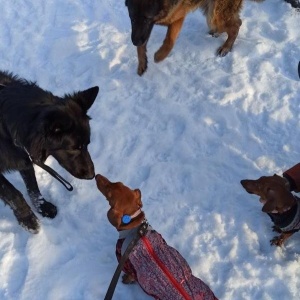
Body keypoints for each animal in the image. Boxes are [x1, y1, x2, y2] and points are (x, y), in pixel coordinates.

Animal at [0, 69, 99, 232]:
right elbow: (14, 195)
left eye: (87, 144)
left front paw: (43, 207)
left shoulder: (24, 156)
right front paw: (27, 219)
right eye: (73, 148)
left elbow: (32, 185)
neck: (5, 126)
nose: (92, 175)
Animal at [126, 0, 264, 75]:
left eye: (146, 19)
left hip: (215, 15)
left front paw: (159, 56)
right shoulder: (142, 29)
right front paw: (142, 62)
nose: (135, 42)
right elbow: (142, 44)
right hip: (210, 12)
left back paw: (226, 47)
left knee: (236, 24)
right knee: (231, 23)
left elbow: (169, 41)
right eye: (132, 19)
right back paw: (217, 33)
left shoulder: (177, 18)